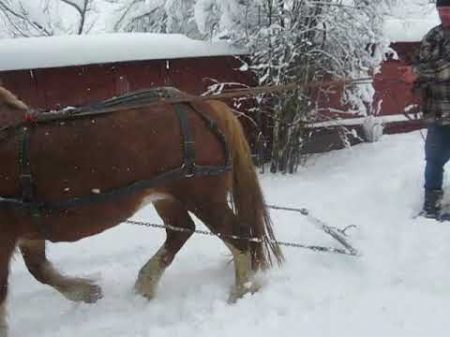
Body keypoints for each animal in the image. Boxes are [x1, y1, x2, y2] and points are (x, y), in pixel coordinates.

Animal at [0, 86, 284, 334]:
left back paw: (241, 291)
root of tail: (204, 105)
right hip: (167, 196)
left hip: (203, 196)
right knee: (182, 230)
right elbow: (39, 269)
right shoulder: (28, 231)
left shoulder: (6, 236)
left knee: (238, 235)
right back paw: (145, 285)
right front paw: (88, 292)